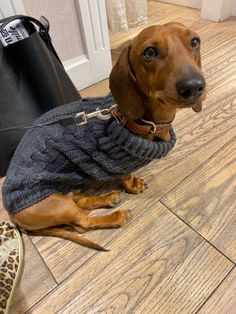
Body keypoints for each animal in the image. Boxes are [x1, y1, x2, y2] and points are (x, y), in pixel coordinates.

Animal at [3, 22, 206, 250]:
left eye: (195, 42)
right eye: (150, 52)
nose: (193, 86)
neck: (136, 122)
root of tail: (11, 215)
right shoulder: (115, 163)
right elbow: (125, 176)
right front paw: (132, 185)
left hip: (67, 193)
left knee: (80, 202)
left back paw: (108, 198)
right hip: (55, 204)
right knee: (82, 223)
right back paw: (116, 216)